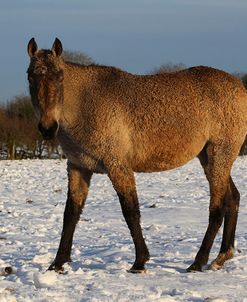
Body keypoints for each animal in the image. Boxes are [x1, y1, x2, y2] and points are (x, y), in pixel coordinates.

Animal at [27, 38, 247, 274]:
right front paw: (58, 263)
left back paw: (198, 261)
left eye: (59, 76)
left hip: (219, 155)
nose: (48, 128)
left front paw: (140, 261)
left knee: (217, 207)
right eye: (30, 76)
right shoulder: (78, 167)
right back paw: (222, 256)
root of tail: (240, 88)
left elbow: (130, 211)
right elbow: (71, 213)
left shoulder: (117, 166)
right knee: (232, 198)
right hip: (209, 157)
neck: (85, 102)